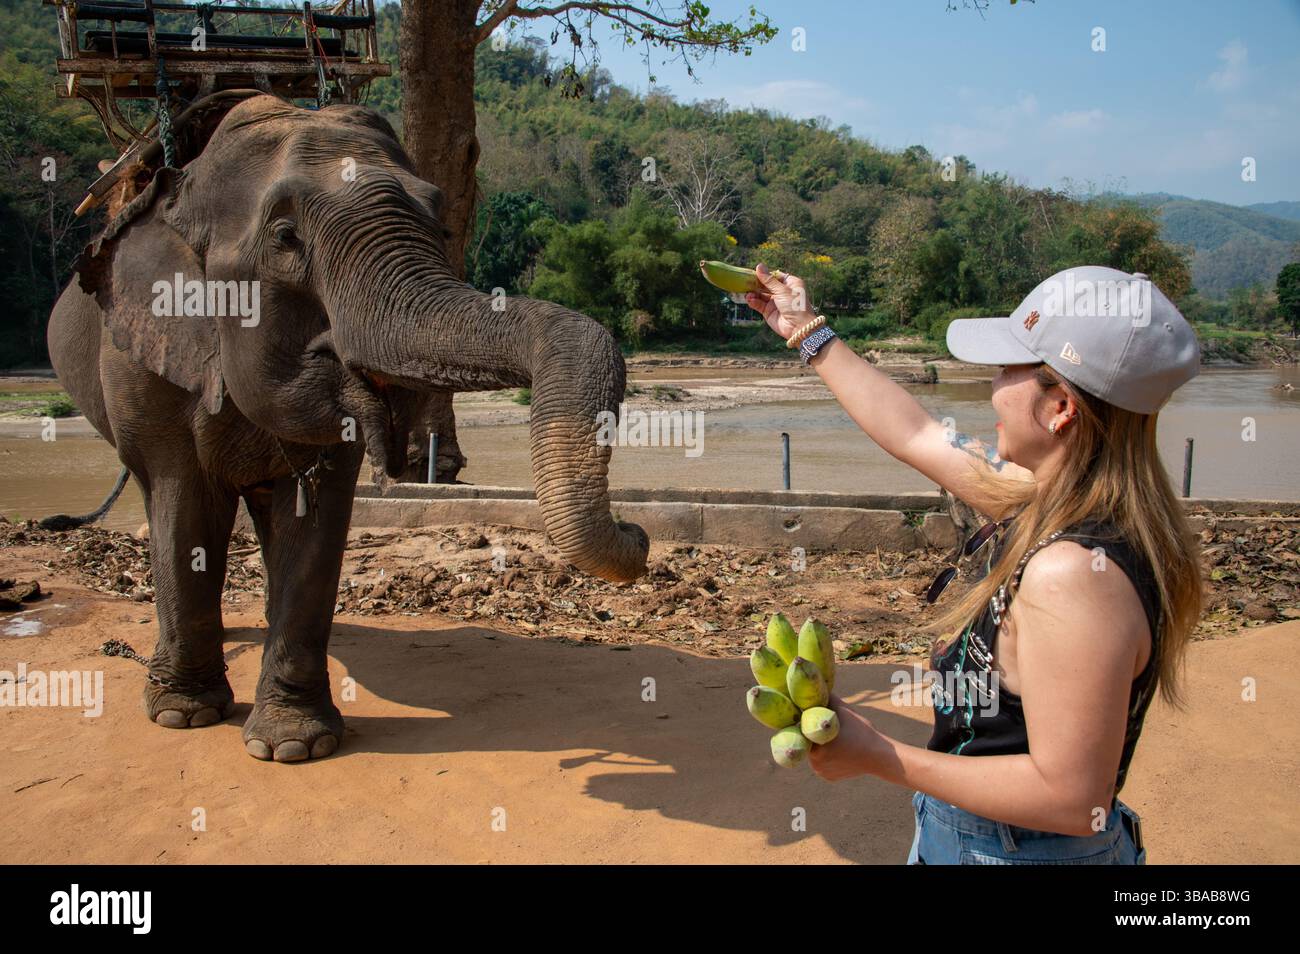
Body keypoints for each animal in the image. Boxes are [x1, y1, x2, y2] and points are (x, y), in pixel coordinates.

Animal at [47, 93, 649, 762]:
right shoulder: (142, 363)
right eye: (285, 237)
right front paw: (185, 715)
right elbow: (182, 498)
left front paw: (294, 745)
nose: (639, 531)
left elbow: (318, 516)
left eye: (441, 225)